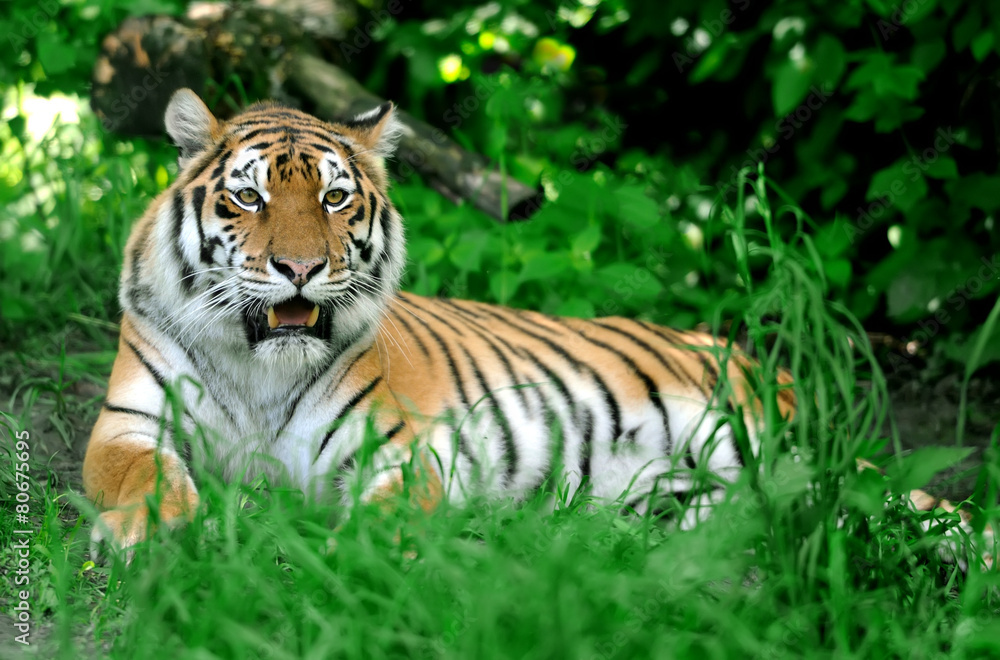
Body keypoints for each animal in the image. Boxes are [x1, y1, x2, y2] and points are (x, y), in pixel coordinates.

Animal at [82, 89, 991, 568]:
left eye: (335, 199)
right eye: (250, 197)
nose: (301, 268)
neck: (257, 365)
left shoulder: (406, 447)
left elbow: (389, 513)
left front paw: (349, 556)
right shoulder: (128, 426)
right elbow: (144, 478)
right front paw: (160, 536)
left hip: (778, 446)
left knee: (930, 512)